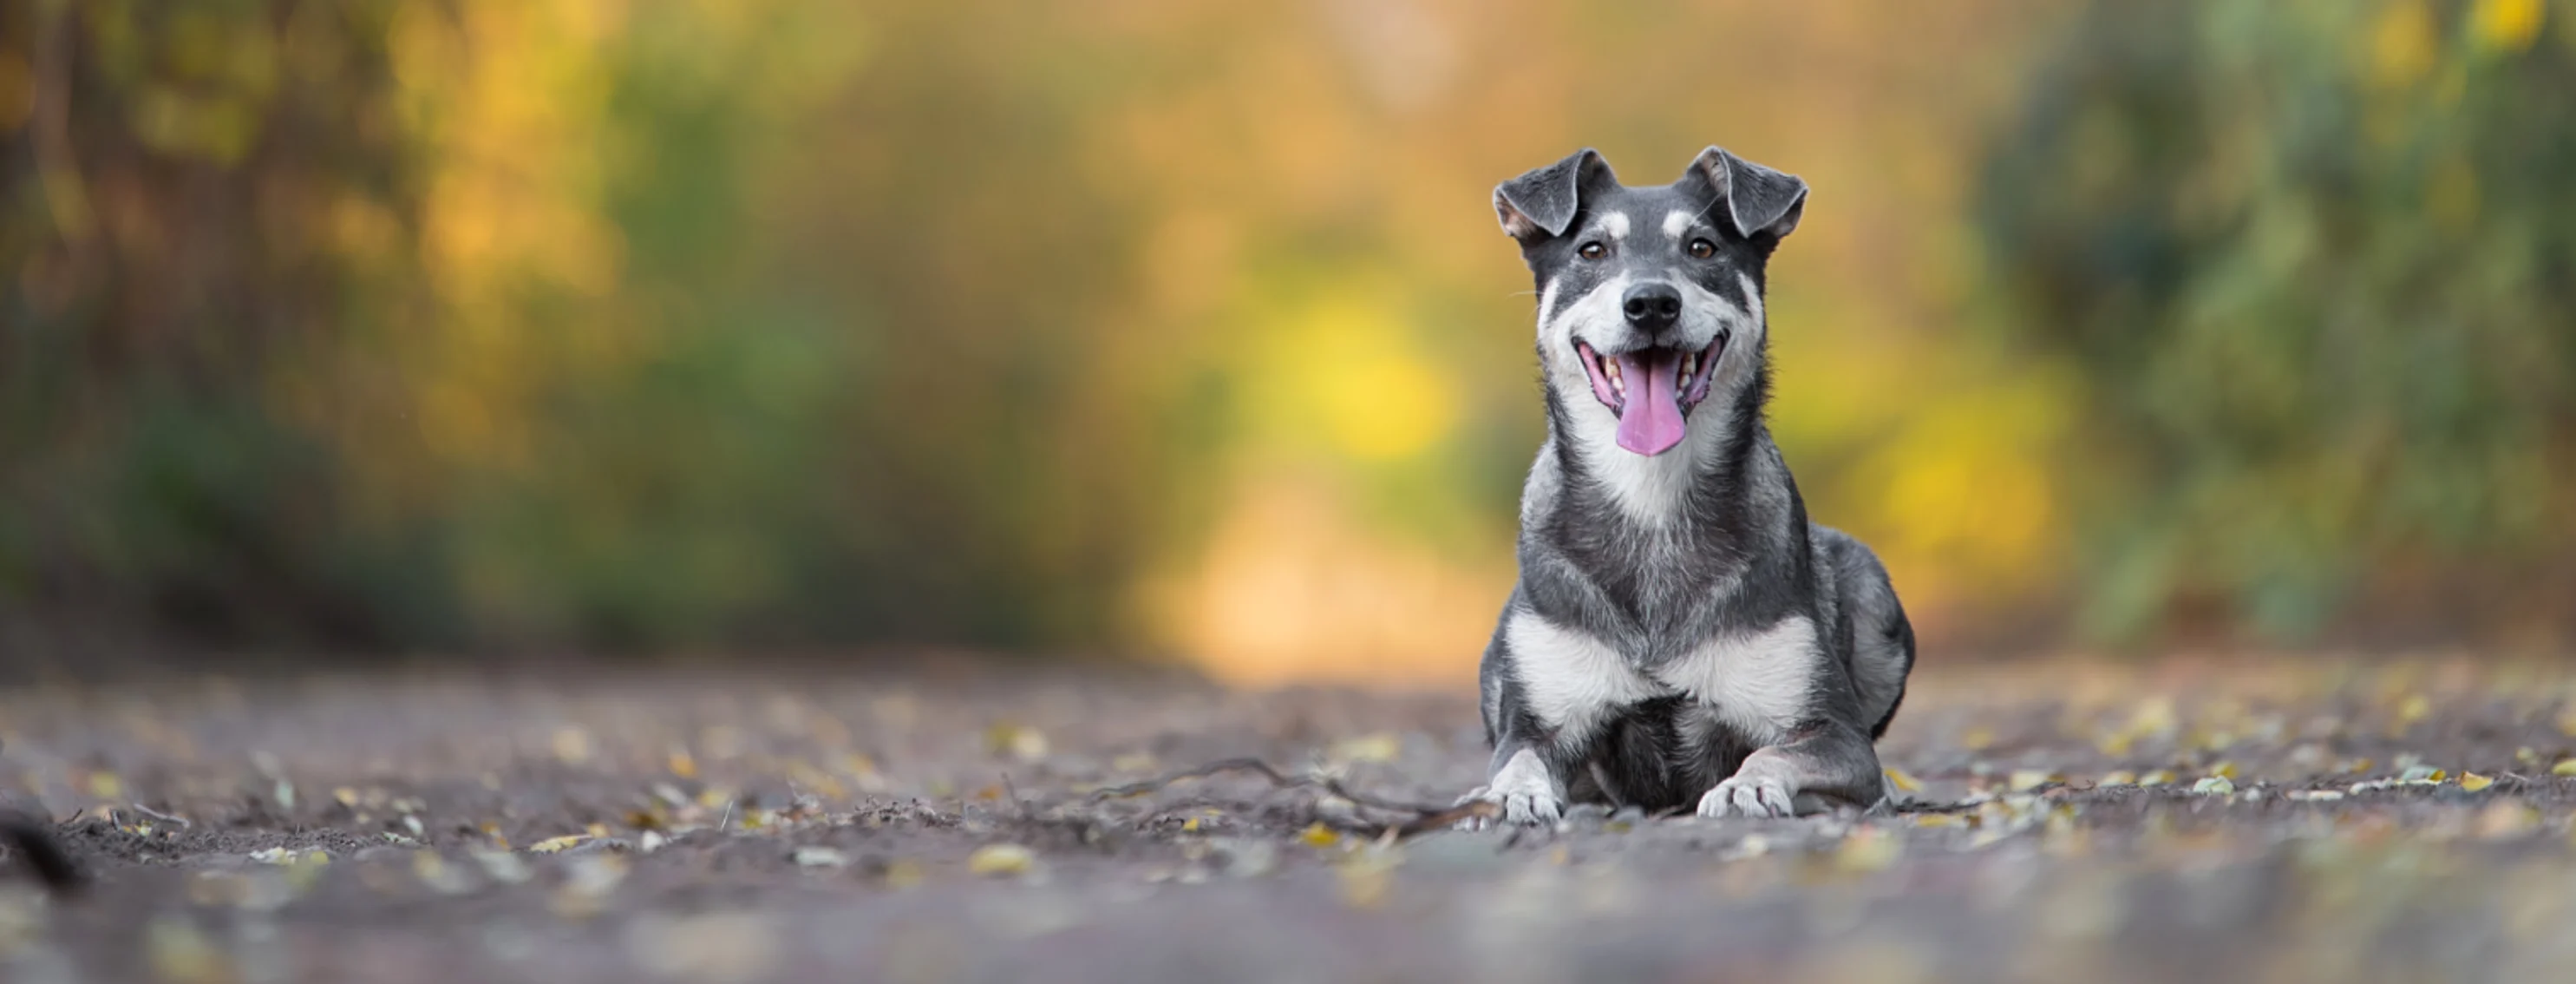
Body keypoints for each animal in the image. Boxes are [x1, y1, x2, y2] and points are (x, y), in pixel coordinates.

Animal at [1462, 146, 1926, 823]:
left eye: (1702, 247)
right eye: (1592, 251)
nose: (1652, 303)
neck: (1651, 495)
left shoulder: (1831, 731)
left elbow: (1776, 753)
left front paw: (1743, 786)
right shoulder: (1537, 723)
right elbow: (1518, 759)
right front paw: (1506, 795)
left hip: (1871, 586)